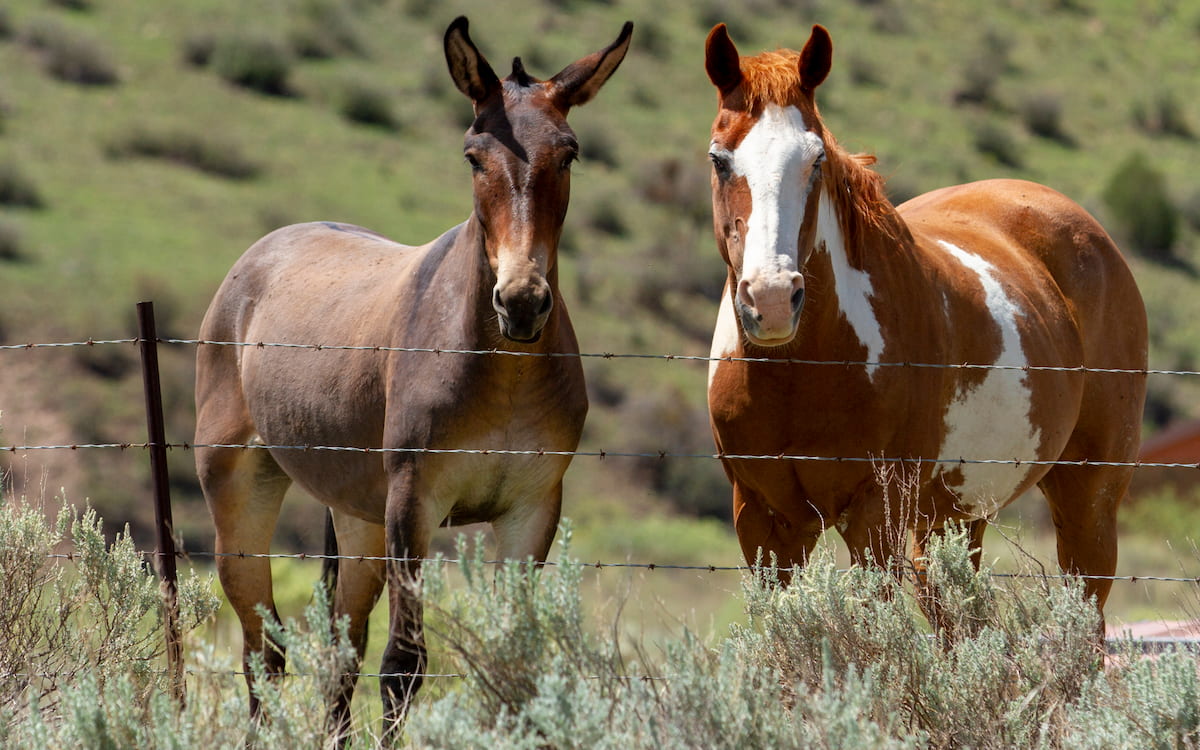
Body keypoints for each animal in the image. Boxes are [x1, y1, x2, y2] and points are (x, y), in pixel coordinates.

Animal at [194, 16, 632, 740]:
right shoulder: (415, 505)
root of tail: (255, 260)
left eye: (568, 155)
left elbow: (516, 659)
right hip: (244, 496)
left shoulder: (530, 510)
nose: (522, 303)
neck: (503, 375)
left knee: (338, 648)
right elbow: (404, 663)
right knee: (266, 649)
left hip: (357, 520)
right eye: (473, 156)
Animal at [702, 23, 1146, 632]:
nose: (770, 300)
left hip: (1090, 499)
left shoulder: (875, 514)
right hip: (955, 518)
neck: (803, 371)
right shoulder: (763, 520)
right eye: (720, 160)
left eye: (815, 160)